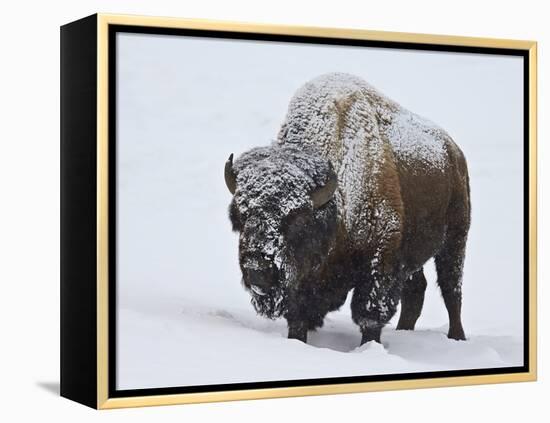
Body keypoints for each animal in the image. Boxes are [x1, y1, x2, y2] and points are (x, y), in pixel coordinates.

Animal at [225, 73, 474, 346]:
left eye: (297, 220)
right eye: (241, 216)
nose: (257, 269)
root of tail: (454, 151)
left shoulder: (379, 261)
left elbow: (369, 315)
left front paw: (370, 347)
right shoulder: (303, 282)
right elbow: (298, 316)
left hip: (455, 239)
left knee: (452, 289)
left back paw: (457, 337)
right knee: (416, 289)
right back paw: (404, 331)